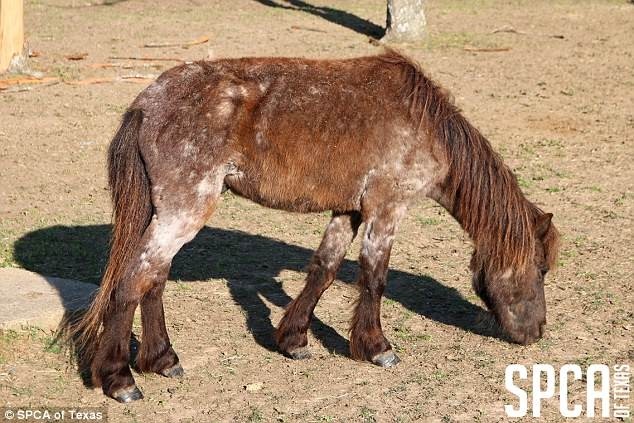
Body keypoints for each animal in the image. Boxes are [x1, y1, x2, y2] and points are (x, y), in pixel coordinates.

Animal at [73, 48, 556, 402]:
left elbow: (323, 270)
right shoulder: (386, 210)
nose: (536, 333)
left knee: (153, 281)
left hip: (170, 215)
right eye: (541, 269)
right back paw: (120, 380)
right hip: (183, 212)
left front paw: (293, 341)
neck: (425, 126)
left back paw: (163, 360)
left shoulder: (350, 211)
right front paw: (377, 349)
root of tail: (146, 104)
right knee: (132, 282)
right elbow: (373, 278)